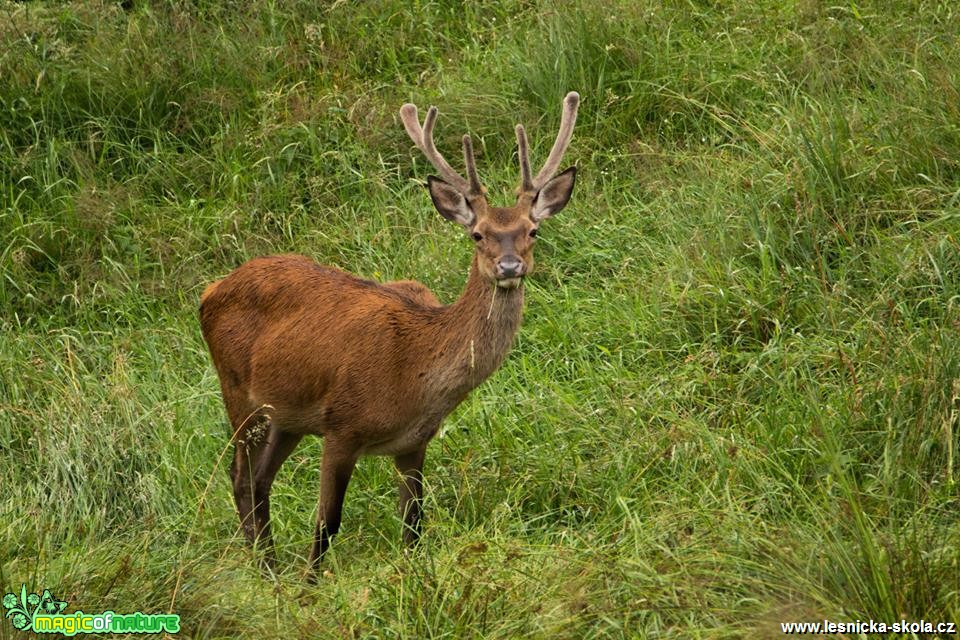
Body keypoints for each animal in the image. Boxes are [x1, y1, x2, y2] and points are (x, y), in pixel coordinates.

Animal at [199, 91, 580, 580]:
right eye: (478, 235)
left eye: (533, 230)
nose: (510, 266)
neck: (415, 374)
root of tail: (209, 291)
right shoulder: (341, 425)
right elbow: (327, 522)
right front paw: (311, 585)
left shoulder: (414, 443)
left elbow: (413, 523)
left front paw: (415, 577)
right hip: (238, 393)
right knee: (240, 476)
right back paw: (266, 570)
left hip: (287, 417)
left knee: (260, 479)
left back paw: (269, 564)